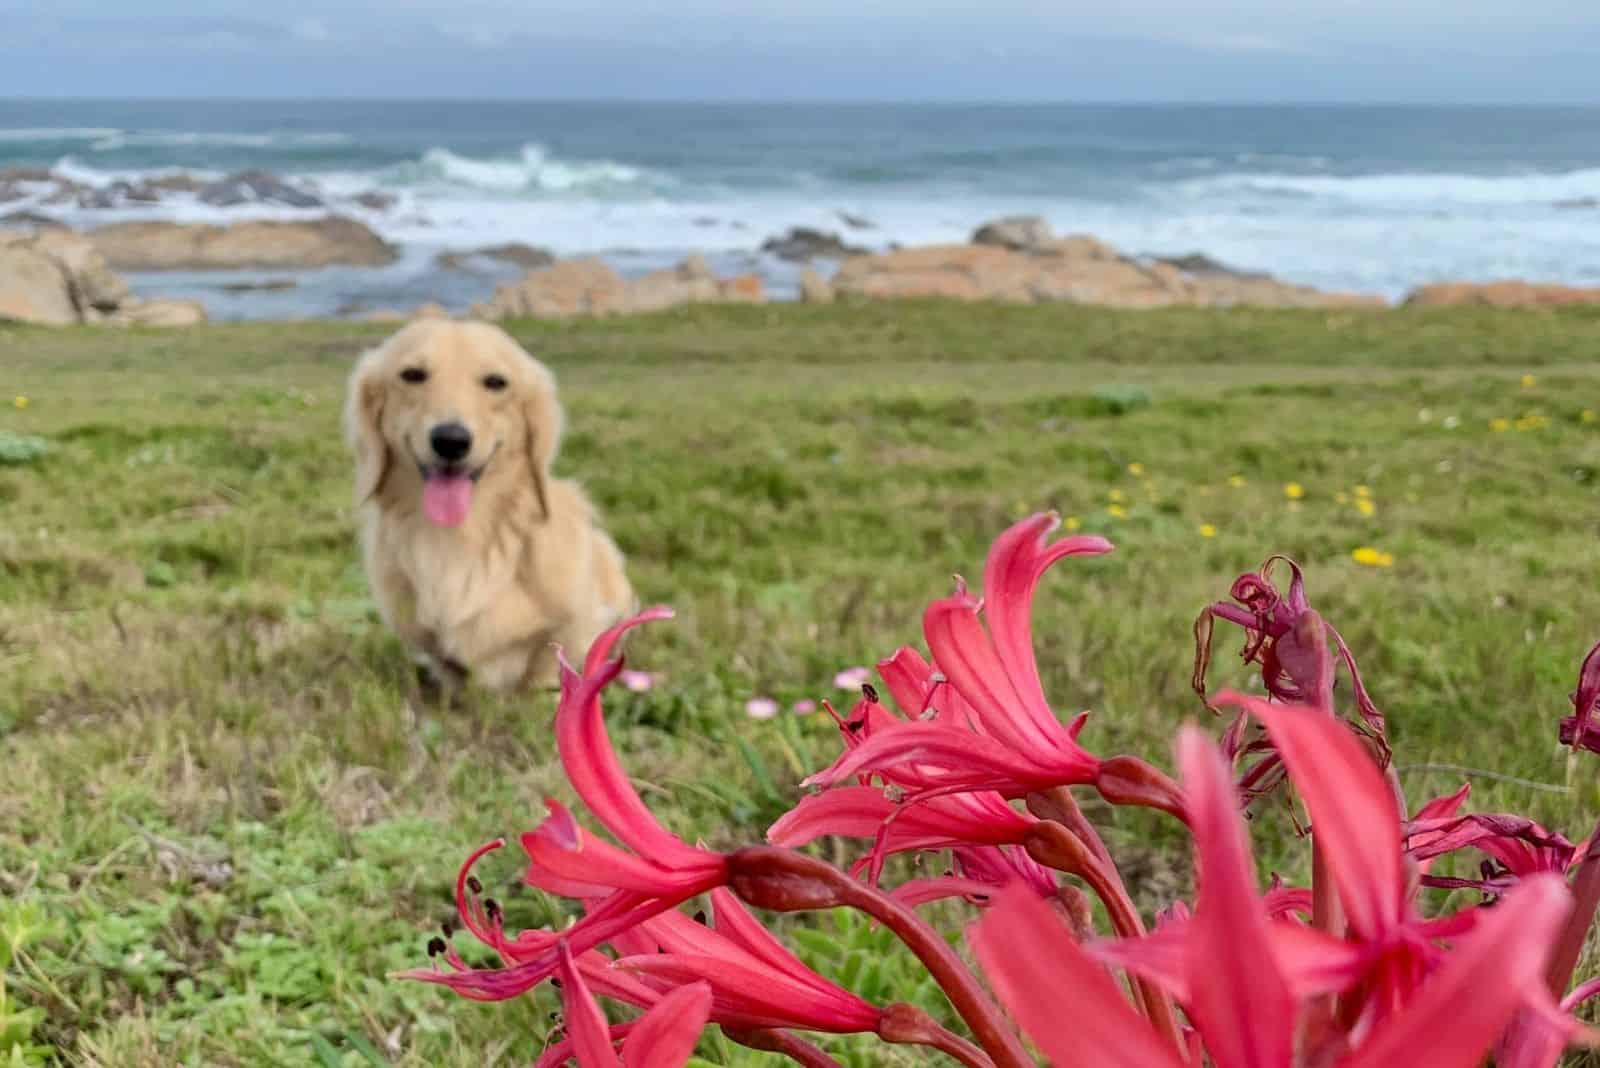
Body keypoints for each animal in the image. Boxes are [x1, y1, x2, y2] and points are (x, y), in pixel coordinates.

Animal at [347, 316, 633, 693]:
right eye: (412, 374)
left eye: (496, 382)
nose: (451, 441)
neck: (457, 540)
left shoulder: (573, 625)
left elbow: (548, 664)